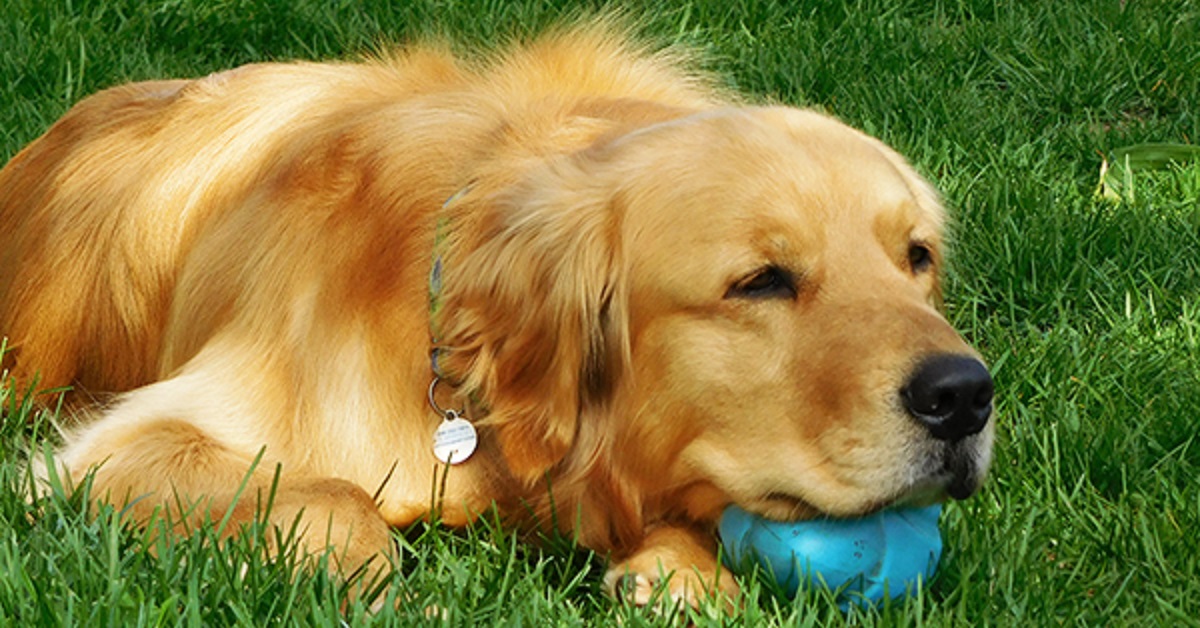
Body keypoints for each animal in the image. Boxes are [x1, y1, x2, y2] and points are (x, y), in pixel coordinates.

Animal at [0, 23, 993, 605]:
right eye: (762, 281)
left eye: (916, 258)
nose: (965, 395)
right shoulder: (114, 451)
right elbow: (336, 502)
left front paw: (684, 577)